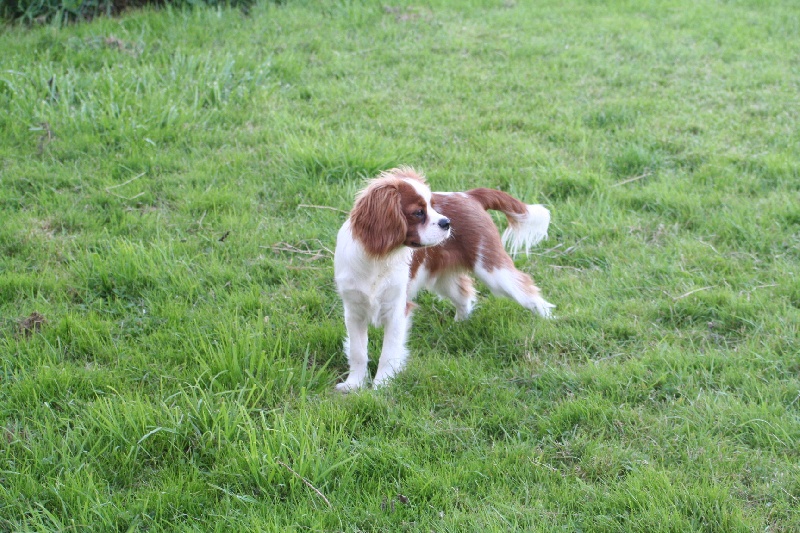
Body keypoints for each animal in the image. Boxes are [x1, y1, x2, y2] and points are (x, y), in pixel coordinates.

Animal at [334, 167, 552, 390]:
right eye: (418, 212)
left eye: (433, 205)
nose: (446, 222)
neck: (380, 259)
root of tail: (469, 195)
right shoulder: (354, 312)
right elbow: (358, 352)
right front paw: (354, 385)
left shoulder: (397, 310)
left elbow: (388, 353)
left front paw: (381, 387)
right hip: (444, 280)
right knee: (464, 294)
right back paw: (459, 325)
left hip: (493, 270)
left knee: (526, 288)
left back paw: (548, 320)